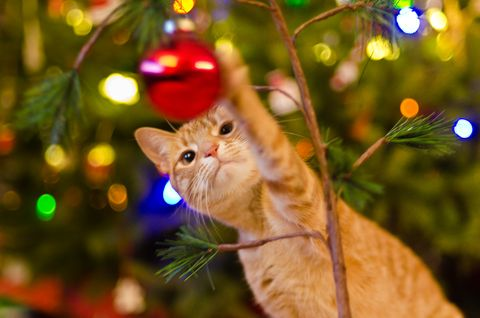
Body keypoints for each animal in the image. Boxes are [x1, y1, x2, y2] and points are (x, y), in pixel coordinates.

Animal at [134, 48, 462, 316]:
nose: (210, 150)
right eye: (188, 157)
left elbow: (267, 137)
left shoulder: (299, 189)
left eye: (225, 129)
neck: (260, 228)